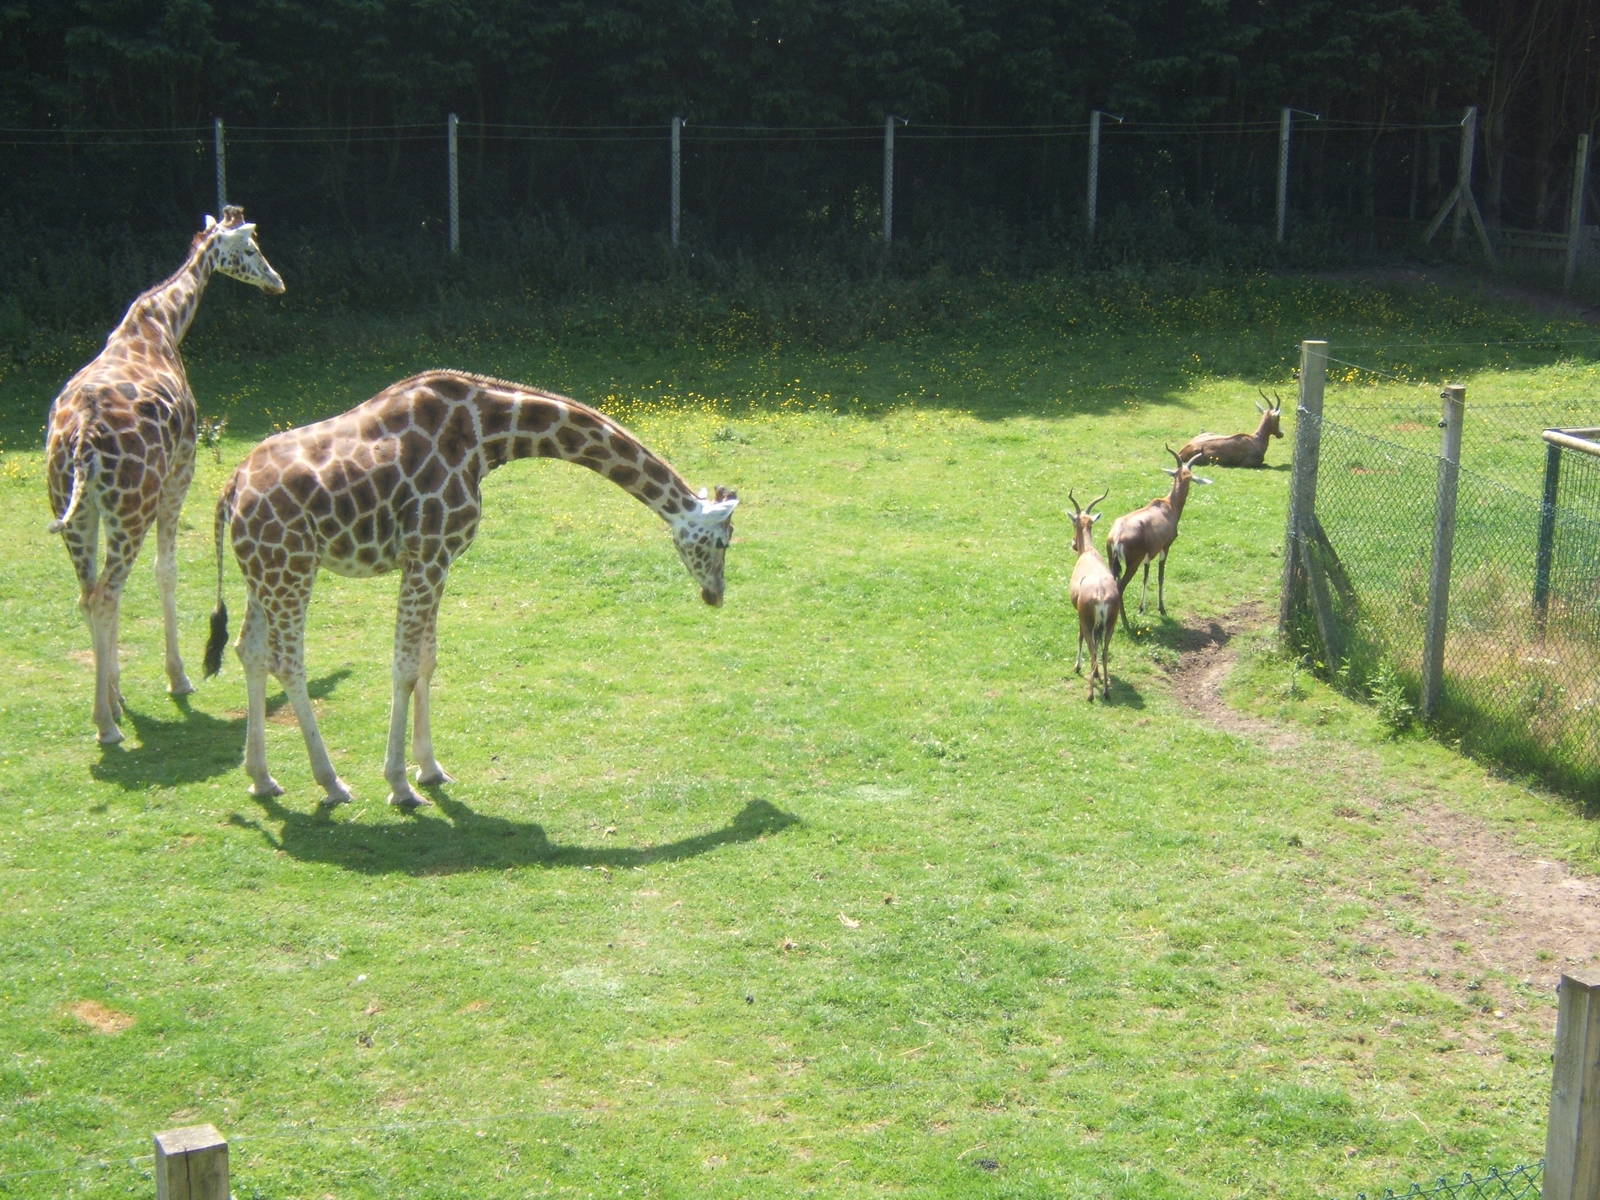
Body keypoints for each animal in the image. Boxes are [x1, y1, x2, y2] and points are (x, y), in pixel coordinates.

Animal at [45, 207, 285, 745]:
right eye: (252, 248)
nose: (277, 283)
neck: (163, 324)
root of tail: (82, 439)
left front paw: (120, 692)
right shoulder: (181, 471)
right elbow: (166, 571)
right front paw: (178, 678)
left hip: (72, 508)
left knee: (88, 594)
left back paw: (108, 709)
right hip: (130, 507)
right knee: (106, 593)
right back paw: (105, 726)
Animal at [203, 369, 739, 810]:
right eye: (722, 541)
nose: (715, 595)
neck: (488, 436)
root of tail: (231, 491)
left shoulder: (438, 560)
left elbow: (426, 661)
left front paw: (430, 769)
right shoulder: (426, 553)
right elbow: (403, 667)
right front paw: (400, 785)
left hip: (264, 571)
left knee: (249, 649)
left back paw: (262, 778)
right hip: (291, 566)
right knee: (287, 661)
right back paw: (331, 782)